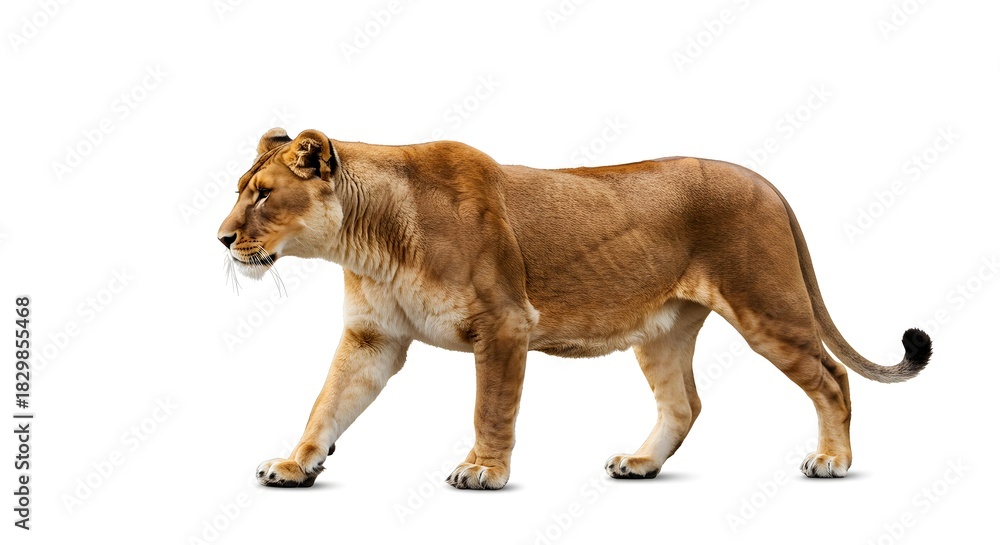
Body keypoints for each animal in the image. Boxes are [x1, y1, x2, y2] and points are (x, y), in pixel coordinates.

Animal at [218, 128, 932, 489]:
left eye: (263, 194)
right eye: (242, 190)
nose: (222, 239)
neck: (368, 241)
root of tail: (766, 181)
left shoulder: (505, 325)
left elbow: (491, 408)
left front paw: (483, 471)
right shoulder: (373, 339)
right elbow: (327, 403)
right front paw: (296, 463)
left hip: (767, 308)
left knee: (832, 378)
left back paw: (833, 461)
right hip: (663, 331)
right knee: (685, 403)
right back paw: (641, 464)